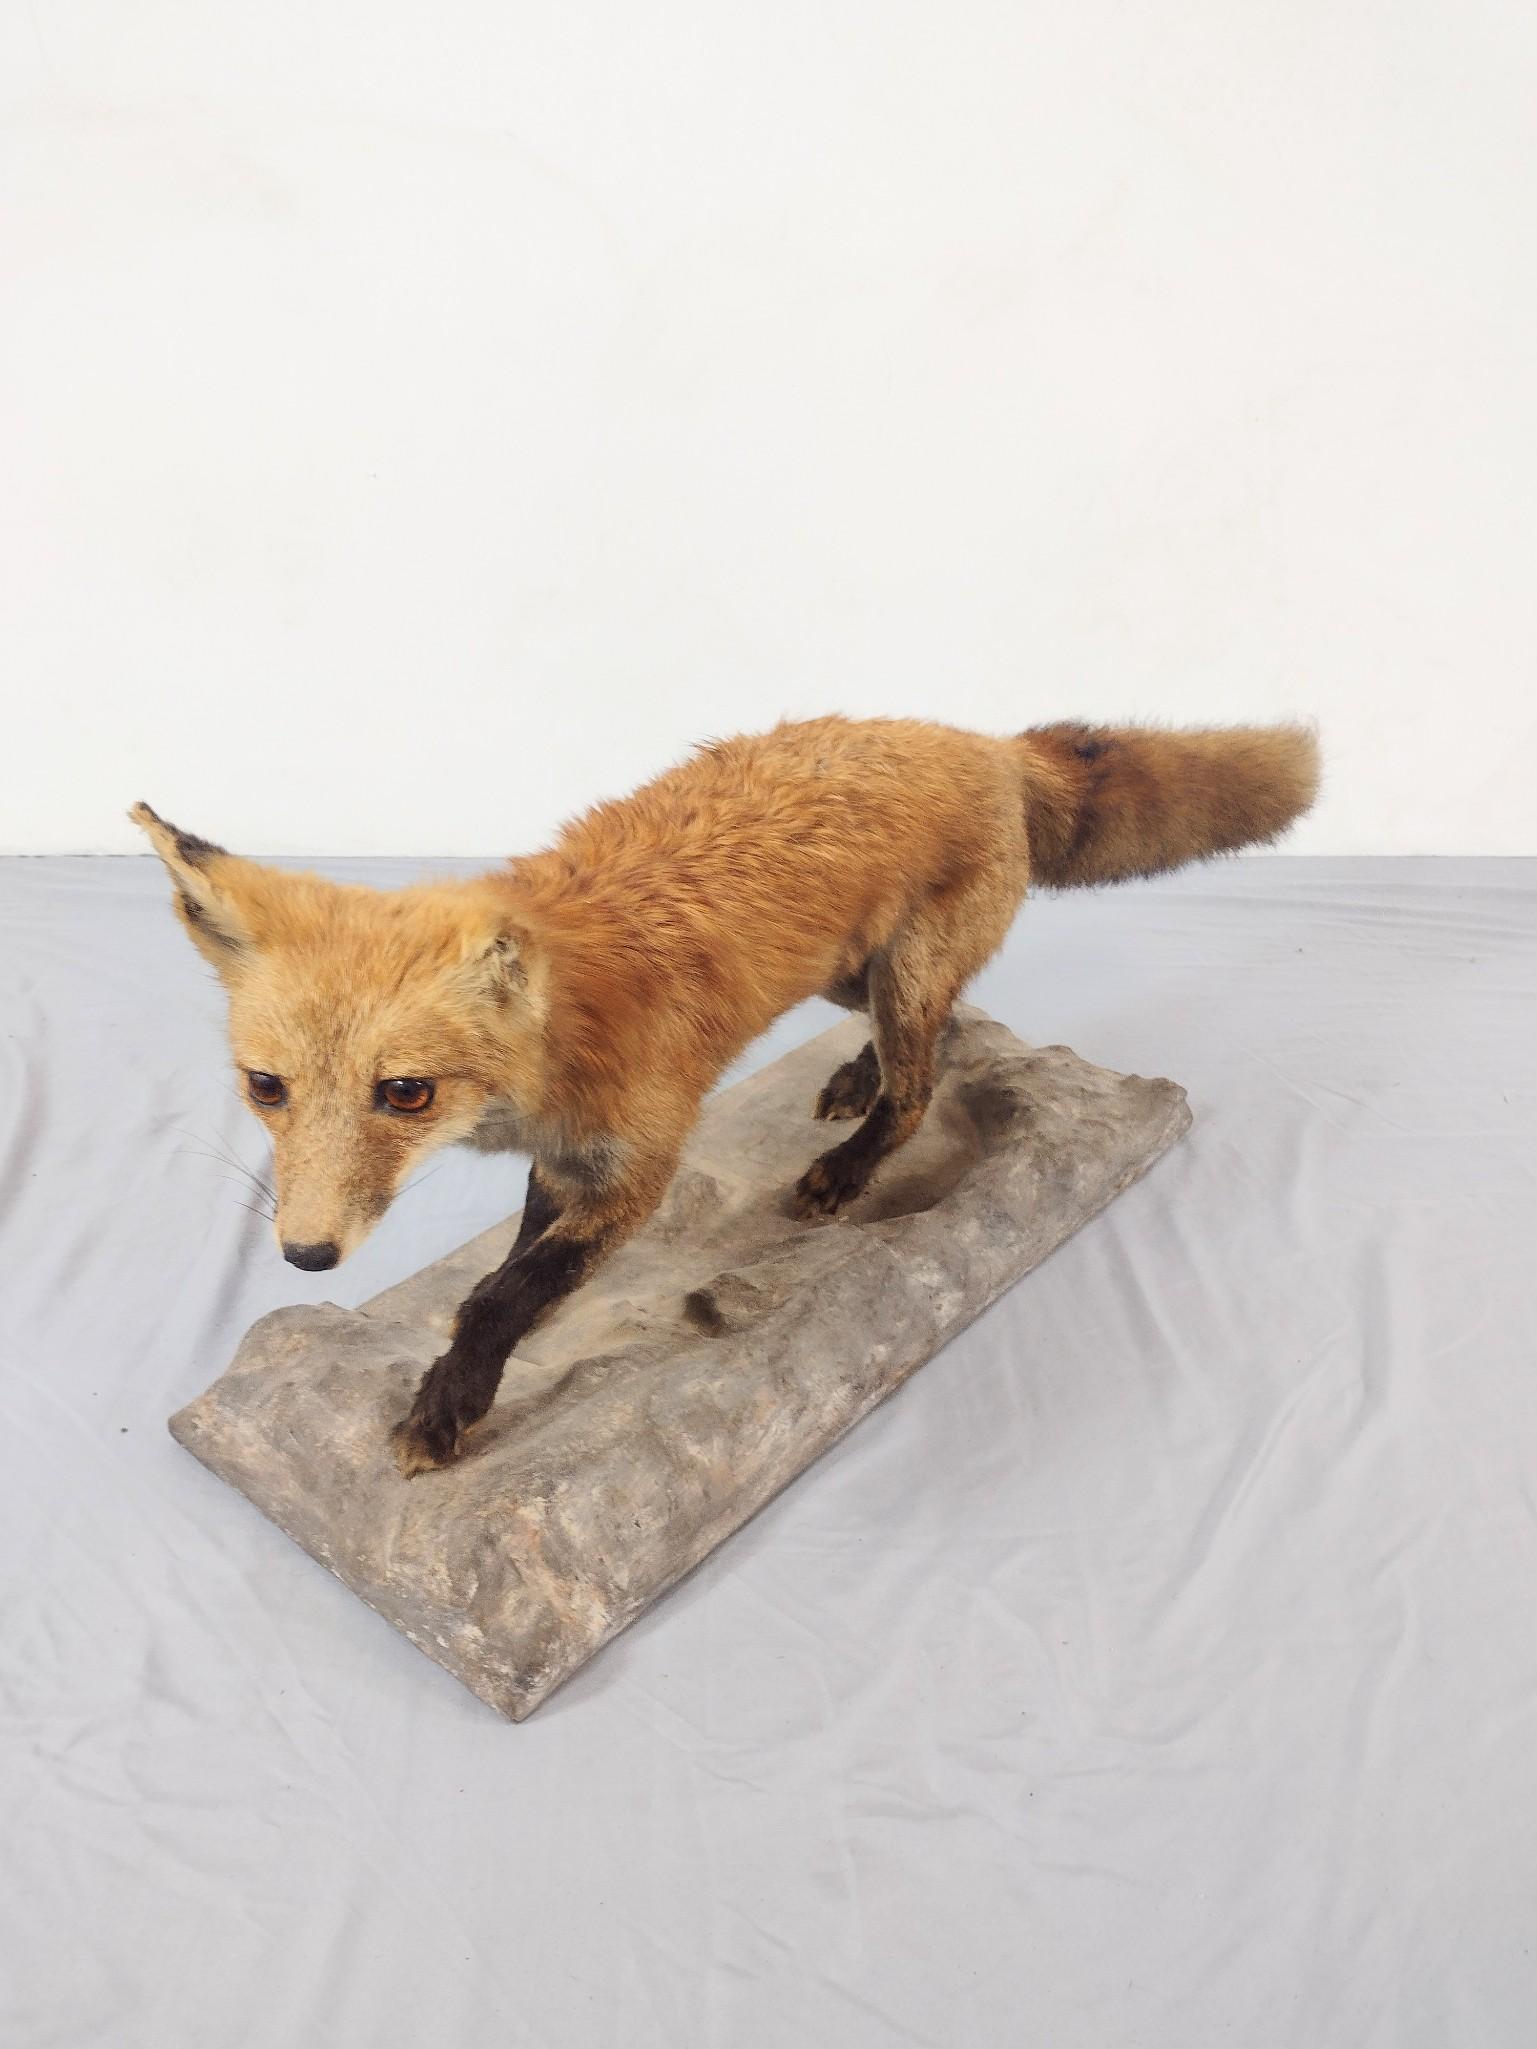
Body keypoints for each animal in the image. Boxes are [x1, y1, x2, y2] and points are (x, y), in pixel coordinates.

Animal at [133, 713, 1318, 1475]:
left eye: (406, 1093)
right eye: (266, 1086)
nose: (305, 1256)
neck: (559, 1055)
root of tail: (981, 740)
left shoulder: (636, 1167)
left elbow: (499, 1295)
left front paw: (449, 1405)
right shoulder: (569, 1160)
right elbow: (513, 1267)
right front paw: (462, 1378)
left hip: (899, 969)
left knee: (922, 1083)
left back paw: (849, 1163)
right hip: (854, 969)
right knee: (946, 1032)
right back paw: (854, 1077)